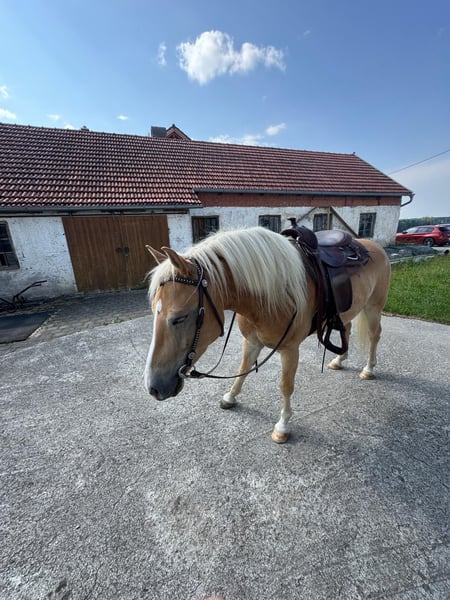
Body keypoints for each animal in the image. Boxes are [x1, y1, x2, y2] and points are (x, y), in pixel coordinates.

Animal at [144, 226, 391, 443]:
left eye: (180, 318)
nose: (153, 388)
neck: (271, 294)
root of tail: (373, 246)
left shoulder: (290, 350)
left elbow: (285, 385)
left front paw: (282, 426)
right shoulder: (252, 342)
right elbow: (242, 370)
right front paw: (230, 397)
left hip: (373, 307)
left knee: (374, 335)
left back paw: (369, 369)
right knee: (346, 329)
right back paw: (339, 360)